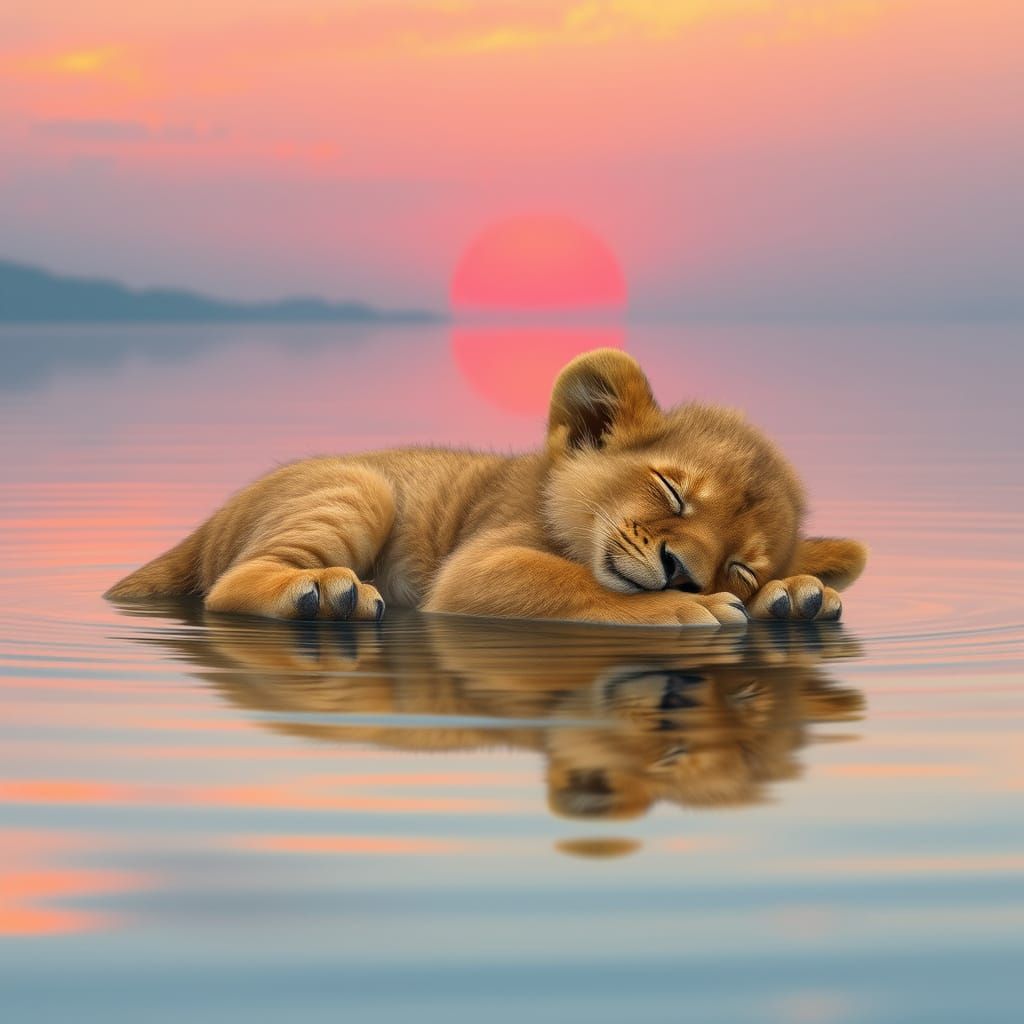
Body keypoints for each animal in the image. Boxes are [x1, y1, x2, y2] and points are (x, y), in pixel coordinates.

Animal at [106, 348, 866, 625]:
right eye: (671, 491)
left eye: (742, 566)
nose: (683, 571)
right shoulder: (477, 566)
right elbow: (576, 585)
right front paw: (691, 611)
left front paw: (795, 595)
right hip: (356, 487)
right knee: (232, 583)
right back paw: (323, 593)